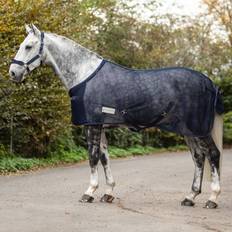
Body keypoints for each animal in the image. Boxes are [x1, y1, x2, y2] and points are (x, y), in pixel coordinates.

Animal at [8, 24, 223, 209]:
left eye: (28, 46)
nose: (13, 73)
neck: (84, 74)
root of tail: (210, 83)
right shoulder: (100, 125)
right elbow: (104, 158)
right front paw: (108, 193)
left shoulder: (92, 125)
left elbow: (93, 157)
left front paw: (89, 192)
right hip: (189, 131)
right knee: (198, 157)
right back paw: (190, 197)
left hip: (199, 129)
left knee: (213, 154)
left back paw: (212, 198)